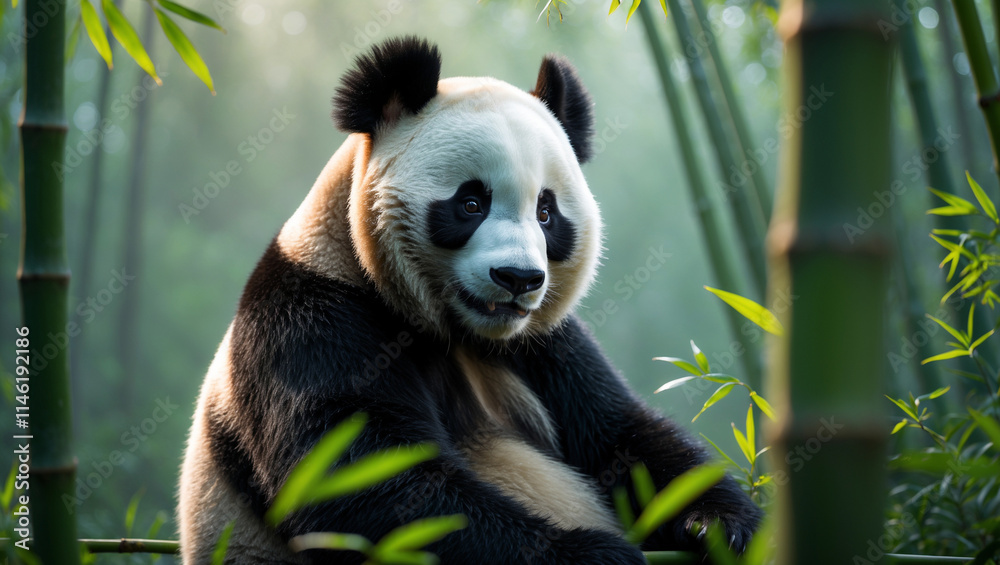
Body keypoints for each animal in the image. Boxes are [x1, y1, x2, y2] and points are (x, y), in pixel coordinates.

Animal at [178, 37, 761, 564]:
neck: (451, 330)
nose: (518, 278)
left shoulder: (544, 343)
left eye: (546, 212)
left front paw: (721, 523)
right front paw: (592, 555)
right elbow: (368, 490)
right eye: (471, 203)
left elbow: (621, 435)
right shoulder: (311, 321)